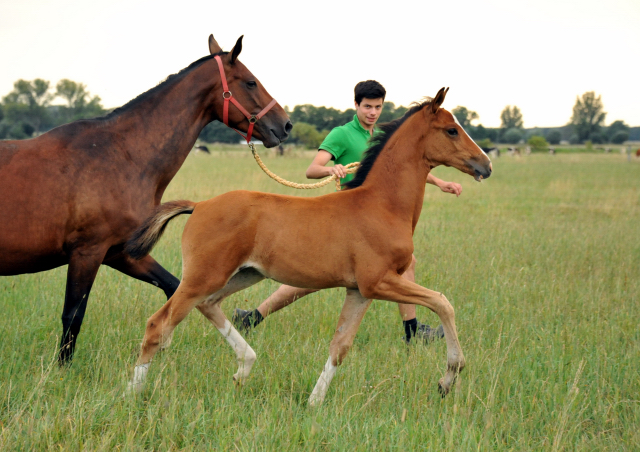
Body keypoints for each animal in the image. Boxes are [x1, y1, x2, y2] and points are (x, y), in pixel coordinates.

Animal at [127, 86, 492, 404]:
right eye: (451, 130)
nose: (485, 165)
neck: (381, 205)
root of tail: (200, 205)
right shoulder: (379, 281)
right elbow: (443, 302)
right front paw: (448, 378)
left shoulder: (359, 291)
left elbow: (340, 347)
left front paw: (314, 402)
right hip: (204, 276)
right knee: (158, 324)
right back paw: (132, 394)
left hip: (243, 274)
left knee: (208, 305)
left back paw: (244, 367)